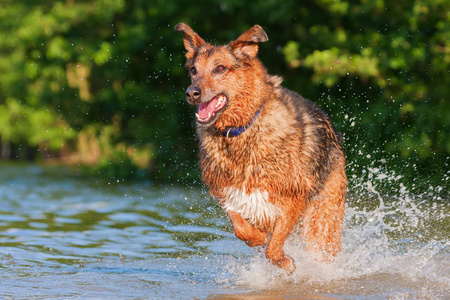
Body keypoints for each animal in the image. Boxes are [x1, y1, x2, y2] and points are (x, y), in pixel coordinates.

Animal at [174, 22, 346, 272]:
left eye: (220, 68)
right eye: (193, 70)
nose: (191, 93)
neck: (240, 130)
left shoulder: (294, 197)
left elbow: (273, 247)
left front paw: (284, 262)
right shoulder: (229, 194)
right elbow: (241, 228)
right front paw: (256, 238)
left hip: (322, 218)